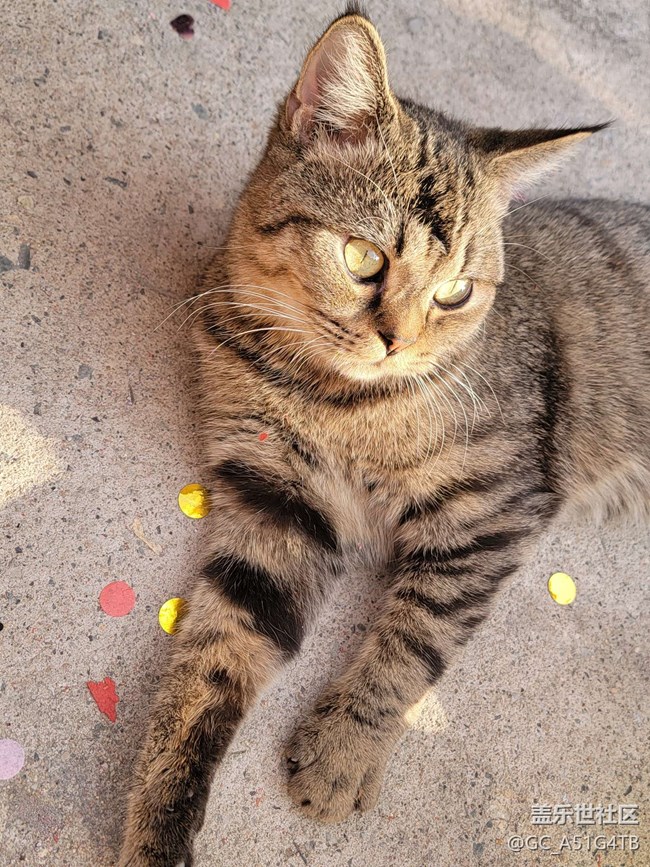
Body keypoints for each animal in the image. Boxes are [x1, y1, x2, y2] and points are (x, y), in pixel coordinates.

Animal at [118, 7, 650, 865]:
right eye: (363, 257)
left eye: (455, 290)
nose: (395, 340)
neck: (331, 396)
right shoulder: (278, 503)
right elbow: (207, 671)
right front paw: (159, 816)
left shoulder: (491, 509)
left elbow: (412, 641)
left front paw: (342, 751)